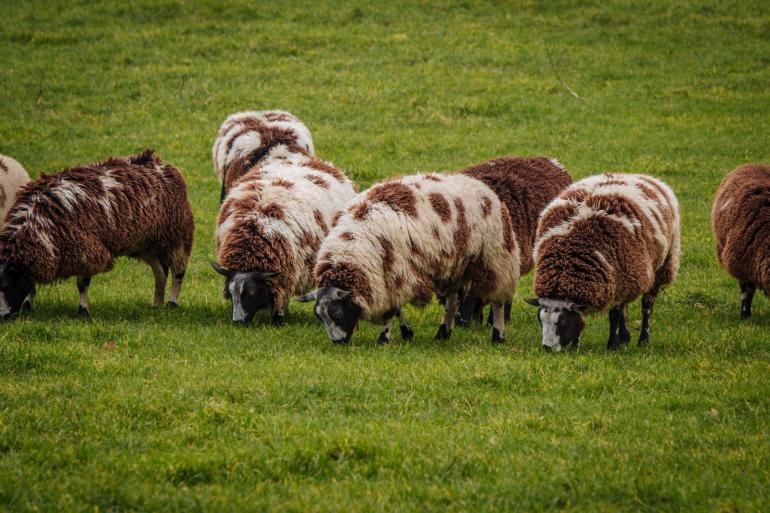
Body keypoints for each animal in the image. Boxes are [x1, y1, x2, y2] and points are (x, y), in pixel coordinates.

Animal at [0, 148, 195, 318]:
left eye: (6, 285)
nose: (3, 316)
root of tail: (159, 163)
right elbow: (31, 284)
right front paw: (28, 307)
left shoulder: (86, 251)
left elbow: (82, 284)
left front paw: (83, 311)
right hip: (147, 243)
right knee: (160, 273)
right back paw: (157, 304)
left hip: (176, 236)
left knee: (178, 271)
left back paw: (172, 302)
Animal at [210, 112, 354, 328]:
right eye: (230, 292)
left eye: (251, 293)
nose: (238, 322)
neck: (254, 232)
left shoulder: (285, 274)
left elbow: (280, 299)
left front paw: (278, 320)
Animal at [296, 168, 524, 344]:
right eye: (320, 316)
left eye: (337, 312)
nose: (338, 342)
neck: (353, 243)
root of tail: (484, 189)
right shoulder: (391, 276)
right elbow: (396, 309)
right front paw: (406, 333)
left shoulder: (396, 272)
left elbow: (391, 310)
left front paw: (384, 339)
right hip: (455, 265)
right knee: (452, 300)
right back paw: (443, 333)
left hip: (493, 259)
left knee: (497, 301)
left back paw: (498, 336)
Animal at [520, 174, 680, 350]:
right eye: (540, 320)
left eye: (562, 322)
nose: (547, 348)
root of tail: (647, 177)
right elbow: (588, 317)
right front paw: (576, 347)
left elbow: (614, 314)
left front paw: (612, 345)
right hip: (626, 275)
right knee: (625, 306)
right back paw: (625, 337)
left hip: (660, 265)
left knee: (647, 305)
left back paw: (643, 340)